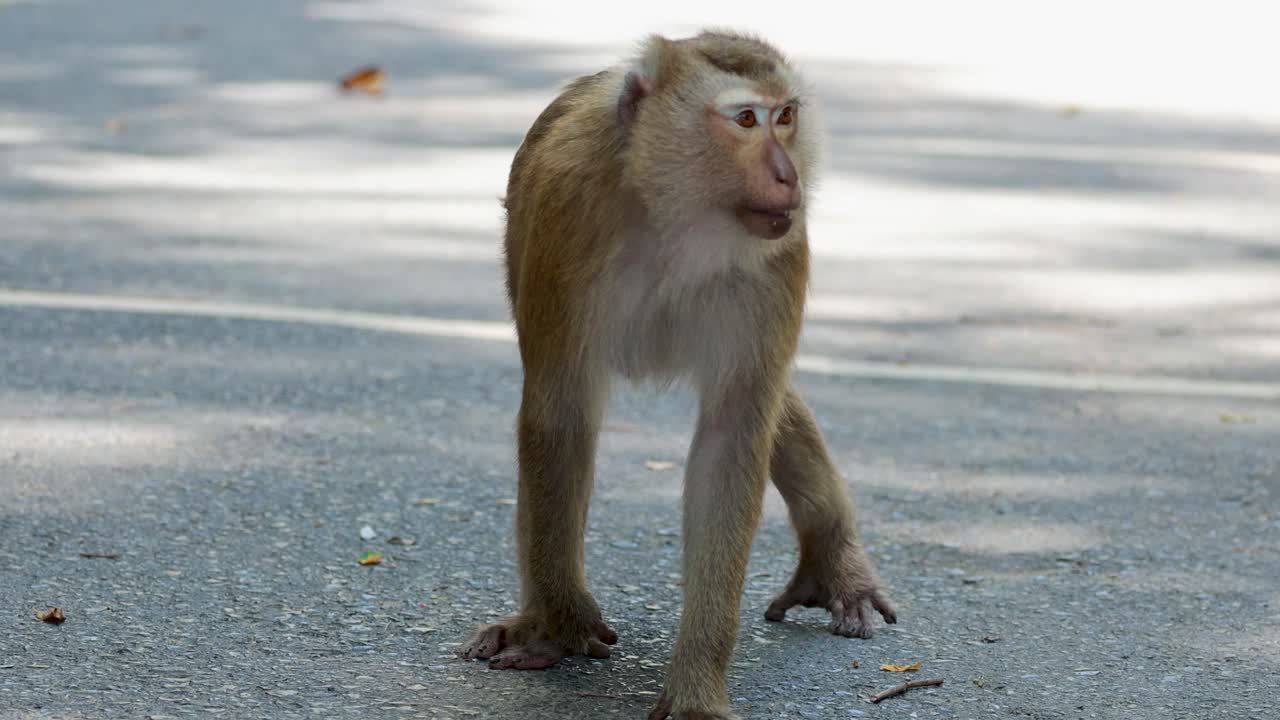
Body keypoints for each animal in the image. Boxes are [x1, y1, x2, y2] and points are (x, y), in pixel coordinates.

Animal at [457, 30, 897, 720]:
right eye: (745, 120)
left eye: (786, 116)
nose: (788, 174)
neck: (674, 215)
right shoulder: (564, 218)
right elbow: (560, 414)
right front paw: (561, 625)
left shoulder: (780, 256)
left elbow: (731, 439)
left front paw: (696, 687)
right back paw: (533, 618)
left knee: (773, 400)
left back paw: (834, 559)